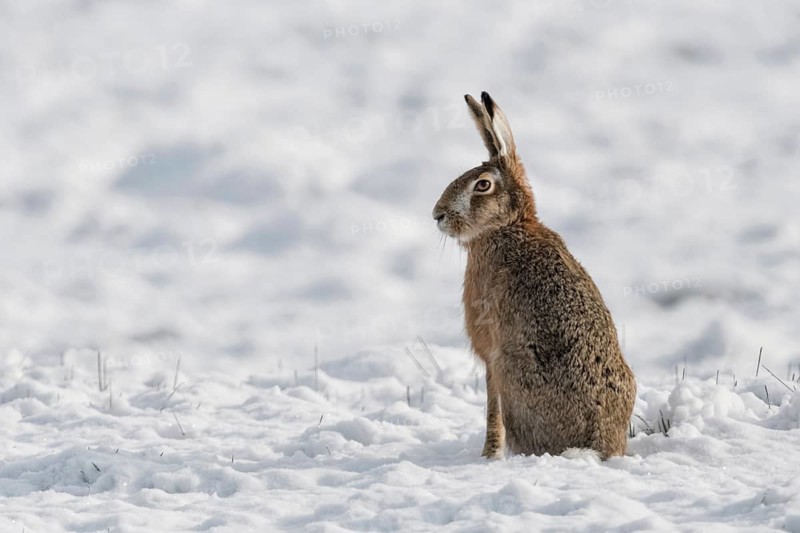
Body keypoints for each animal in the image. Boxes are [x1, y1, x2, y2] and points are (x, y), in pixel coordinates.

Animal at [432, 92, 636, 460]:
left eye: (482, 185)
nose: (437, 214)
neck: (507, 226)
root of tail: (599, 443)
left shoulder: (490, 354)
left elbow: (491, 409)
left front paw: (488, 455)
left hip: (511, 370)